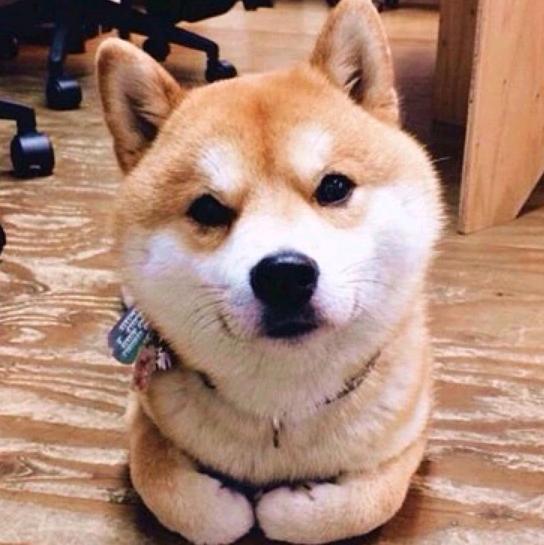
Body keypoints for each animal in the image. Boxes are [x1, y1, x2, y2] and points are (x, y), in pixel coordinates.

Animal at [97, 0, 442, 543]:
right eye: (208, 209)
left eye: (334, 187)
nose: (284, 275)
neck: (282, 405)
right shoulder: (141, 414)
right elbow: (172, 492)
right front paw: (226, 505)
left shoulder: (411, 435)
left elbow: (370, 503)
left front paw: (288, 506)